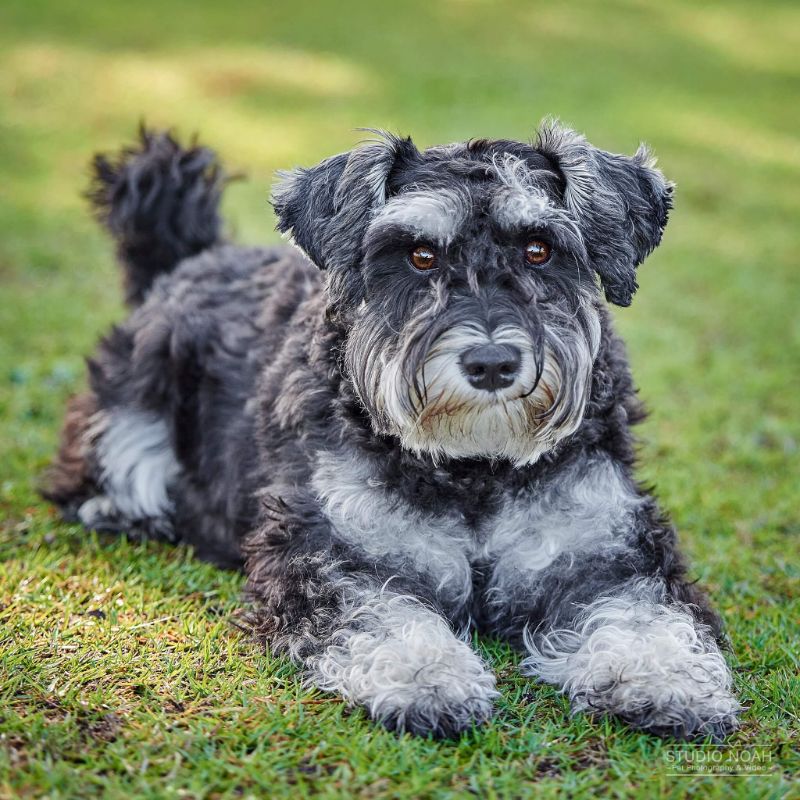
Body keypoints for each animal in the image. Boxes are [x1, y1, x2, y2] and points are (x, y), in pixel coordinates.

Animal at [43, 122, 740, 740]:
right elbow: (382, 611)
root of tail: (192, 259)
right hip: (135, 392)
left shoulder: (607, 550)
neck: (474, 468)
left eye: (540, 249)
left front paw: (664, 680)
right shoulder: (330, 550)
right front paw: (426, 678)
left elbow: (643, 613)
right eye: (419, 255)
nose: (492, 363)